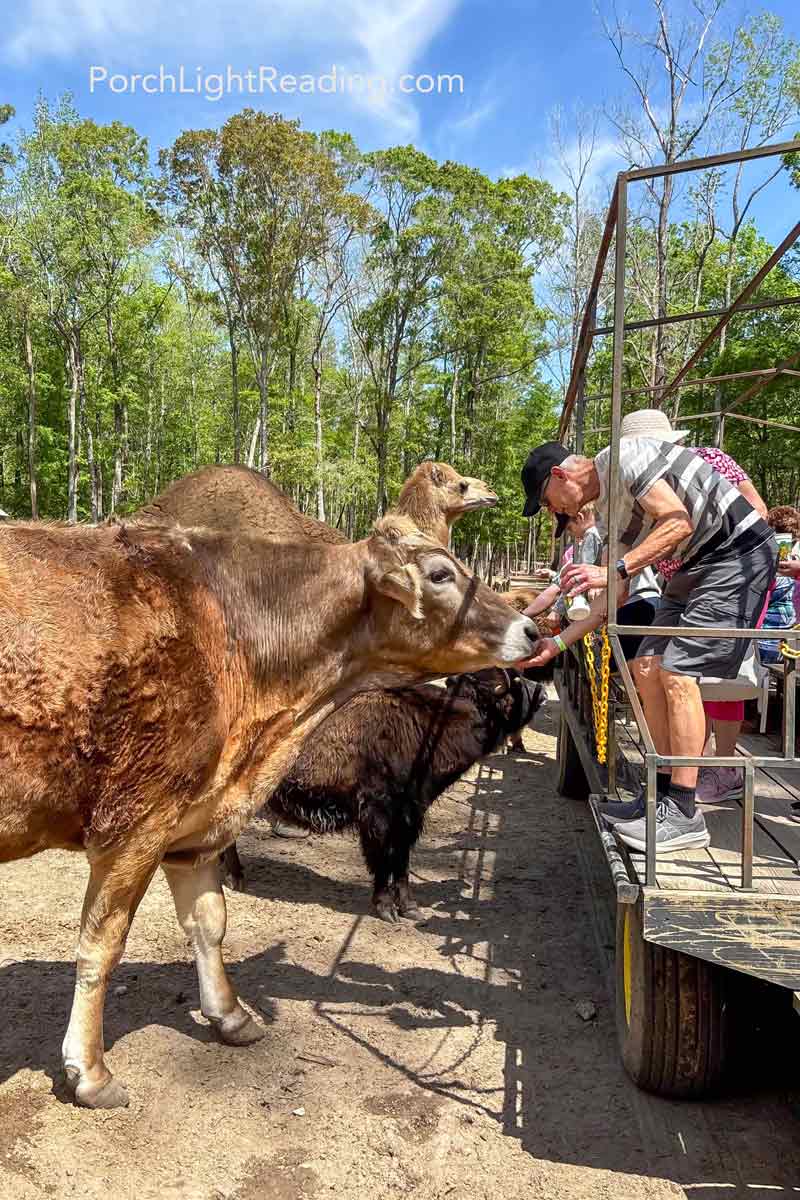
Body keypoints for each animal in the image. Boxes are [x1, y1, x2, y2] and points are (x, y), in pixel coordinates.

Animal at [227, 669, 545, 922]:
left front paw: (410, 907)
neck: (427, 725)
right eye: (514, 682)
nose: (540, 691)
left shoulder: (410, 817)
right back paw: (235, 878)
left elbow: (401, 862)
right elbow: (382, 859)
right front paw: (385, 908)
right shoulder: (378, 815)